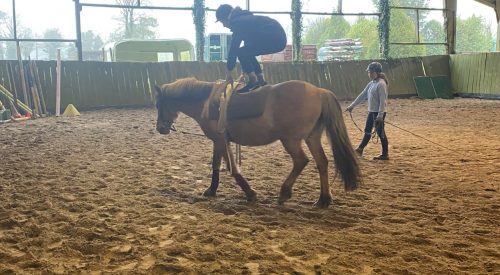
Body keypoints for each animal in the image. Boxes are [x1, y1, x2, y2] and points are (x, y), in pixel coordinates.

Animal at [154, 77, 362, 209]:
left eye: (158, 104)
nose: (160, 128)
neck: (207, 102)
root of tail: (319, 91)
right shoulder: (219, 141)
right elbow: (216, 165)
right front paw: (211, 190)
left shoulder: (220, 140)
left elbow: (231, 168)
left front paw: (249, 193)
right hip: (311, 138)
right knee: (322, 163)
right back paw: (323, 200)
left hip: (290, 140)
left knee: (301, 161)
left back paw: (285, 193)